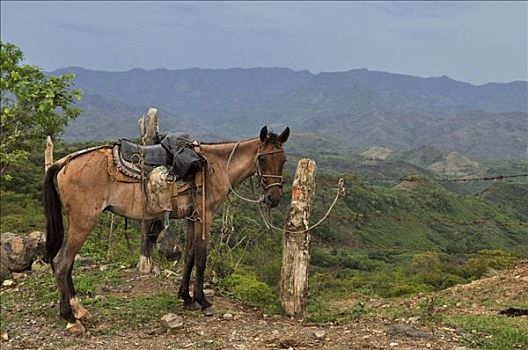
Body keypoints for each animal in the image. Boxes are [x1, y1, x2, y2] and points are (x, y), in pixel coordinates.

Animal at [43, 126, 290, 334]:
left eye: (283, 160)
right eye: (262, 159)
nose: (274, 197)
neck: (216, 166)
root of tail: (64, 162)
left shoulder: (192, 218)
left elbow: (189, 257)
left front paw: (186, 298)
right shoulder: (205, 217)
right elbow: (201, 258)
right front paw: (203, 301)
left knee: (67, 262)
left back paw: (79, 311)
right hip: (84, 220)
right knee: (62, 262)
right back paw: (71, 319)